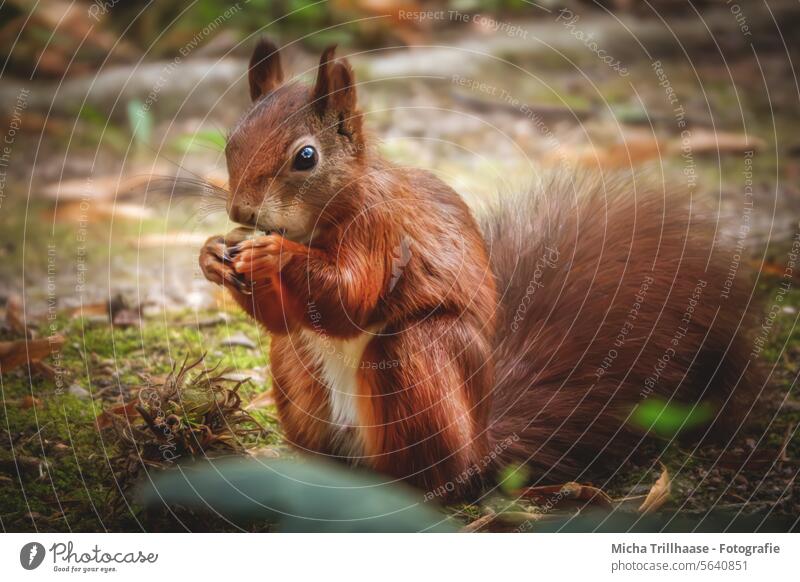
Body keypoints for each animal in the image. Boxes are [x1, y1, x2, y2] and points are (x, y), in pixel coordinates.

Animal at [200, 41, 764, 504]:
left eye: (306, 157)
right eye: (230, 143)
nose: (241, 212)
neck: (318, 224)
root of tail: (482, 446)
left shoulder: (382, 231)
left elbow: (350, 298)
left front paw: (275, 255)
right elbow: (285, 317)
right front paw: (211, 254)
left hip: (416, 359)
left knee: (432, 474)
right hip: (296, 366)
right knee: (298, 359)